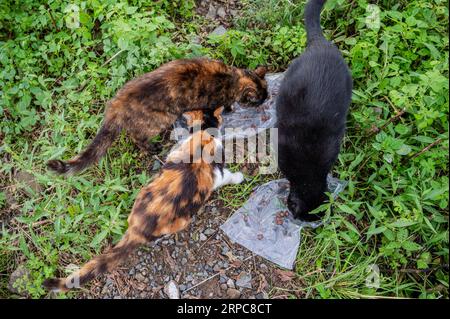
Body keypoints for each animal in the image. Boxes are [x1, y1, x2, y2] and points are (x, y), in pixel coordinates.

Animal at [44, 109, 244, 292]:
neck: (203, 136)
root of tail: (138, 229)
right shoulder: (217, 173)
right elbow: (227, 176)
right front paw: (239, 177)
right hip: (181, 220)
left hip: (143, 192)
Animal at [48, 58, 268, 176]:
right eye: (259, 99)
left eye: (266, 95)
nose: (266, 100)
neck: (233, 78)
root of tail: (115, 105)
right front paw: (231, 109)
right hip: (161, 119)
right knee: (136, 137)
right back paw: (152, 147)